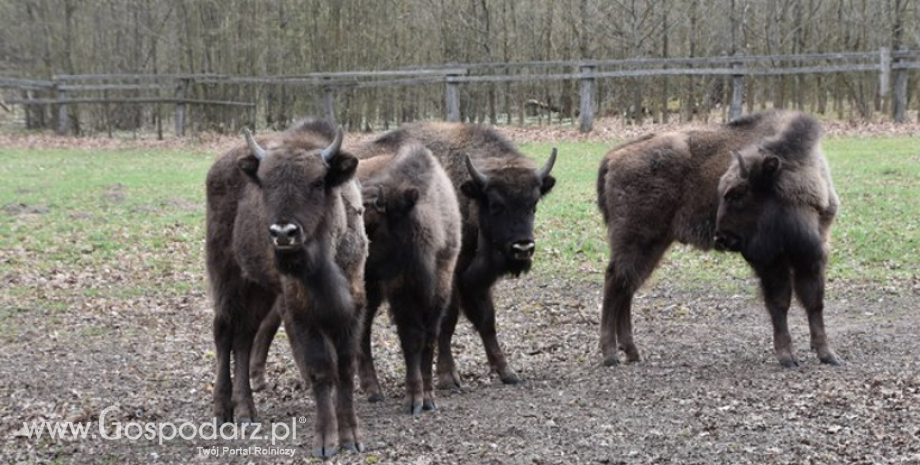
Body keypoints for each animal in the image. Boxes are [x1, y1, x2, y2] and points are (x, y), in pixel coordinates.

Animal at [207, 119, 368, 456]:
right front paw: (325, 442)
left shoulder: (353, 304)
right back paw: (222, 411)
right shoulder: (300, 309)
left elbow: (346, 367)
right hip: (227, 277)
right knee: (224, 333)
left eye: (318, 183)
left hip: (259, 287)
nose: (283, 233)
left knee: (244, 338)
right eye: (266, 184)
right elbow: (321, 368)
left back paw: (247, 412)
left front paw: (351, 438)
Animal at [356, 141, 464, 414]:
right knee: (363, 332)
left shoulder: (440, 289)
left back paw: (373, 390)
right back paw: (373, 390)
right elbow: (412, 340)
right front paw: (414, 399)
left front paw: (429, 398)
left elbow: (429, 340)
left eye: (374, 225)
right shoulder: (401, 292)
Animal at [362, 123, 556, 388]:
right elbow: (449, 321)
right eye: (495, 204)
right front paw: (447, 377)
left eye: (534, 204)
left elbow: (486, 320)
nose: (523, 248)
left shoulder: (473, 280)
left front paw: (507, 372)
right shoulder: (451, 275)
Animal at [596, 110, 840, 368]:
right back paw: (610, 355)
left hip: (653, 246)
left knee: (627, 286)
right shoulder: (769, 260)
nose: (720, 236)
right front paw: (786, 356)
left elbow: (814, 302)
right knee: (615, 282)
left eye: (738, 194)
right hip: (637, 241)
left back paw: (631, 352)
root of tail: (614, 157)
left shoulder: (811, 255)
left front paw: (827, 354)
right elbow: (780, 302)